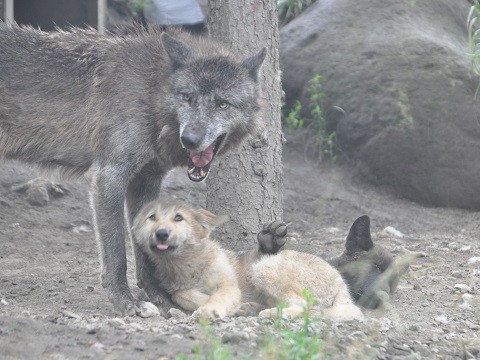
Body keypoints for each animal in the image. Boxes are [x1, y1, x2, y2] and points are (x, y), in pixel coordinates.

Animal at [0, 23, 266, 316]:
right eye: (187, 97)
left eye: (222, 103)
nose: (190, 140)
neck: (151, 93)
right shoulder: (109, 176)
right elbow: (117, 253)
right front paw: (125, 301)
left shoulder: (146, 181)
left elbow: (146, 249)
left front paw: (159, 297)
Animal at [131, 197, 364, 320]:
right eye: (152, 218)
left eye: (178, 218)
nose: (161, 234)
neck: (188, 264)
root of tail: (341, 282)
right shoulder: (180, 288)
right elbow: (181, 294)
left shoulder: (228, 286)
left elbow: (218, 297)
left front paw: (210, 309)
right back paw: (250, 308)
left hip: (264, 268)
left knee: (303, 305)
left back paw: (273, 313)